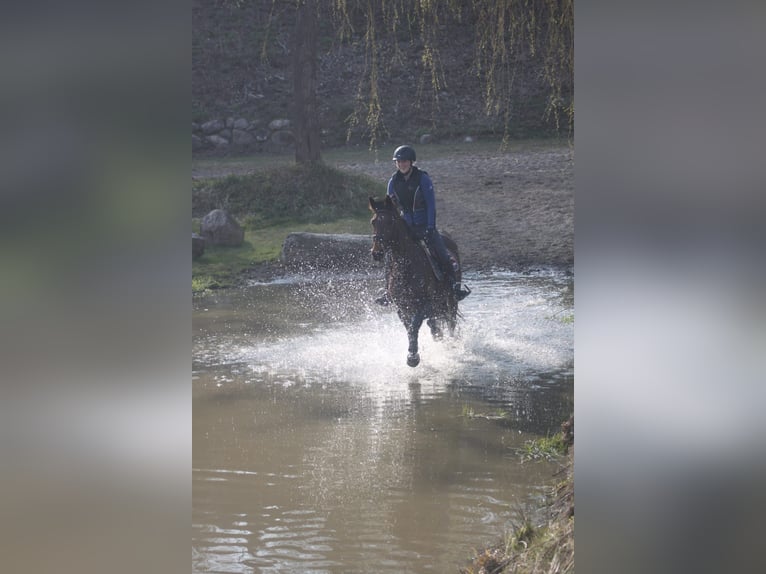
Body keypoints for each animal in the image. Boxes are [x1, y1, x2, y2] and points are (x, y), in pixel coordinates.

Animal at [370, 198, 464, 368]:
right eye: (373, 221)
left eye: (390, 222)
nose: (377, 253)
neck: (405, 268)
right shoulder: (402, 307)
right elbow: (410, 327)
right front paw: (413, 353)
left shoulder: (425, 304)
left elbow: (415, 324)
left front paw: (412, 357)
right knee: (435, 321)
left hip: (451, 300)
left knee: (451, 321)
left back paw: (451, 343)